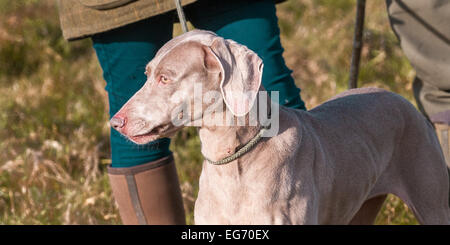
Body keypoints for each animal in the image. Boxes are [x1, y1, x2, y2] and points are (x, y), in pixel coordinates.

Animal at [110, 30, 450, 224]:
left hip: (432, 201)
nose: (115, 122)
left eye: (165, 78)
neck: (233, 159)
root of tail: (399, 97)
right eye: (147, 74)